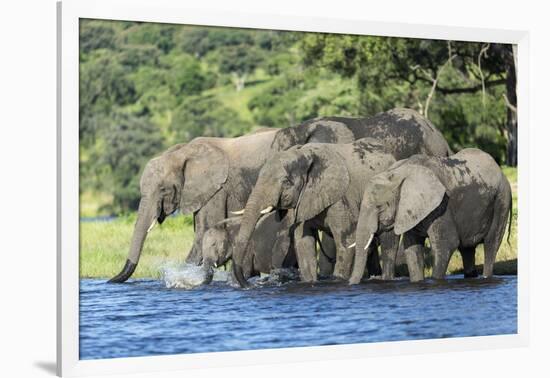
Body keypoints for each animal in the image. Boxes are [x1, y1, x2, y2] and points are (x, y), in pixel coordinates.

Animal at [231, 138, 398, 286]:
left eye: (286, 182)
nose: (248, 285)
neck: (303, 154)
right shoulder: (304, 201)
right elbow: (304, 244)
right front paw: (310, 282)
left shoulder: (340, 197)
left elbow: (346, 241)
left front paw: (338, 281)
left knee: (388, 243)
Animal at [352, 148, 516, 284]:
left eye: (379, 207)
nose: (351, 284)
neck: (401, 172)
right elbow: (412, 248)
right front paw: (418, 282)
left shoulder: (442, 206)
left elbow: (446, 244)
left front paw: (436, 282)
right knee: (467, 249)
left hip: (501, 200)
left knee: (491, 244)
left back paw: (487, 277)